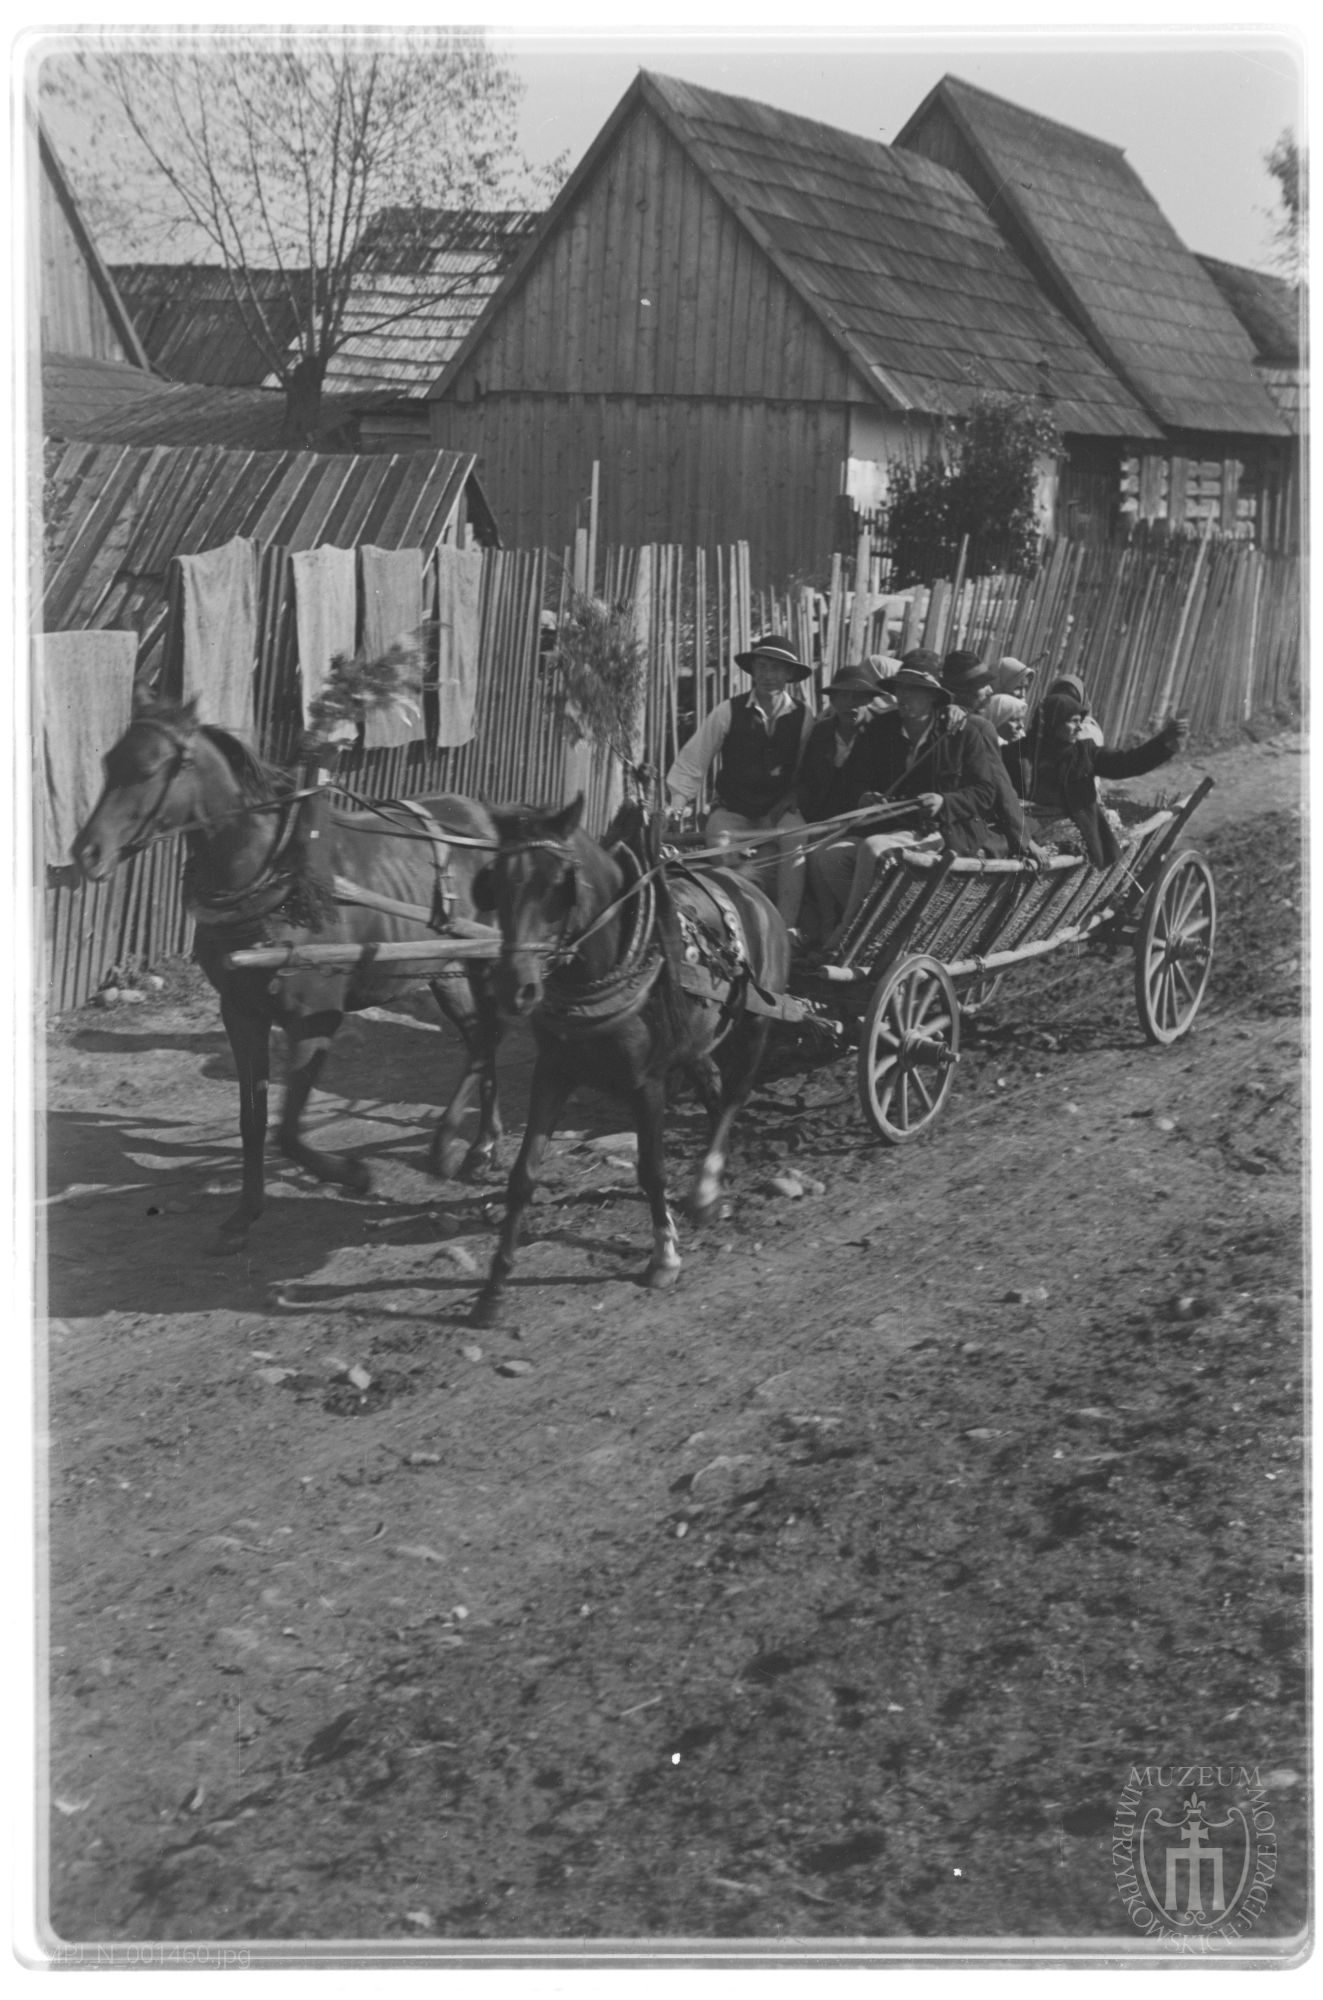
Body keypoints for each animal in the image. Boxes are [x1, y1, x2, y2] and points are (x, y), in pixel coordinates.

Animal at [71, 693, 506, 1244]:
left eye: (148, 768)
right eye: (109, 763)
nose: (86, 852)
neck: (272, 877)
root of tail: (484, 819)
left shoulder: (314, 1020)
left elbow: (289, 1130)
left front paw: (353, 1173)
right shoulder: (241, 1014)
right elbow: (252, 1121)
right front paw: (245, 1213)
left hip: (486, 964)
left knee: (487, 1038)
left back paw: (454, 1145)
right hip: (443, 970)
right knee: (479, 1039)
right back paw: (479, 1145)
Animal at [471, 793, 792, 1327]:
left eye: (557, 885)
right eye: (493, 882)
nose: (514, 988)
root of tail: (747, 885)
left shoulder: (647, 1083)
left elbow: (651, 1169)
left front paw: (664, 1258)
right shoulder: (553, 1071)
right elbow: (523, 1176)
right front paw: (494, 1287)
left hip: (757, 1022)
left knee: (734, 1095)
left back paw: (706, 1188)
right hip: (698, 1039)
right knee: (714, 1089)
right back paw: (715, 1181)